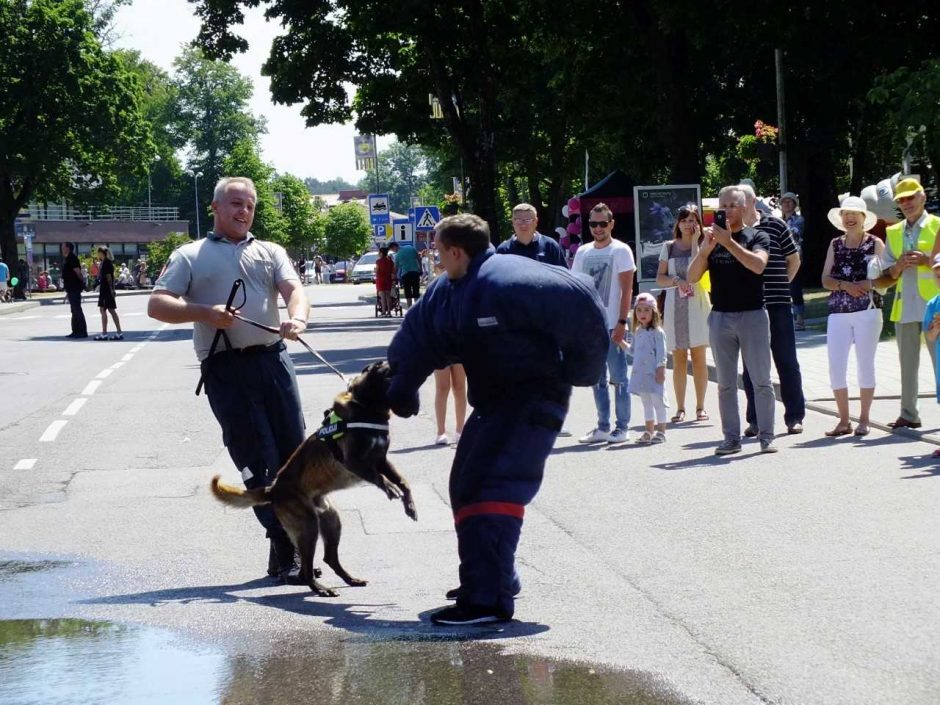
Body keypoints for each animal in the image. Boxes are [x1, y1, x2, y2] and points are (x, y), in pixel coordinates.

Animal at [215, 360, 420, 596]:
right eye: (391, 373)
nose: (413, 403)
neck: (366, 407)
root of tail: (273, 489)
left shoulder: (381, 460)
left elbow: (403, 482)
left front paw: (410, 505)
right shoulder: (356, 462)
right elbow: (380, 478)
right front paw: (389, 489)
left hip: (331, 520)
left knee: (329, 557)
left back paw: (350, 579)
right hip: (308, 526)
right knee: (307, 568)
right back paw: (320, 588)